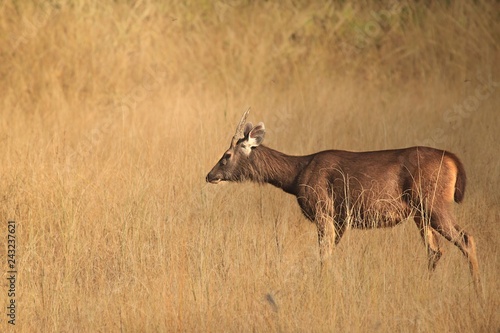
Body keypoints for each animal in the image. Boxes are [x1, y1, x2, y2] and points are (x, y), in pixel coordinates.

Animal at [206, 108, 480, 288]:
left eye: (227, 155)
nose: (210, 175)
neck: (296, 176)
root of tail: (453, 160)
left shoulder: (323, 210)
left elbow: (323, 255)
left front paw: (322, 286)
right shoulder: (340, 219)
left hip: (434, 203)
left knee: (466, 239)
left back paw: (477, 289)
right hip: (420, 213)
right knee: (435, 251)